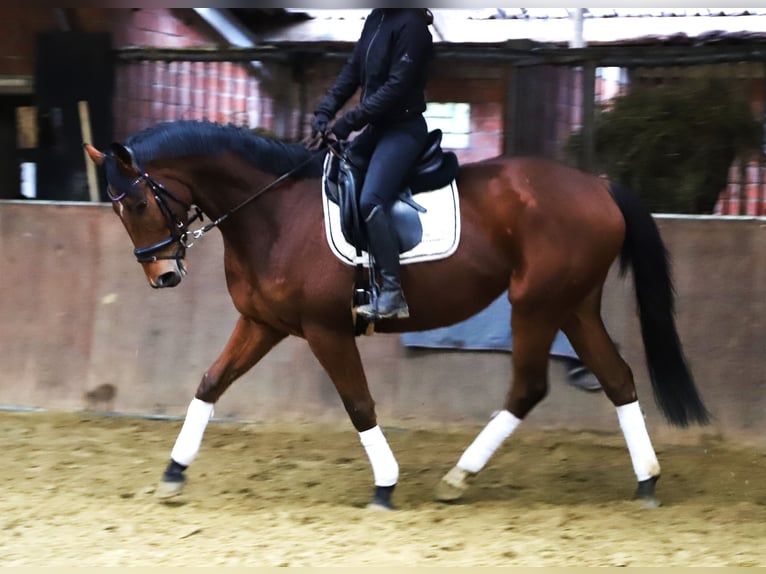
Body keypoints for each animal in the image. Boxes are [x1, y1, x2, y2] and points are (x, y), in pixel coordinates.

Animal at [84, 119, 710, 510]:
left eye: (135, 203)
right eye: (115, 210)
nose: (162, 276)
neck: (272, 213)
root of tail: (597, 185)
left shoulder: (326, 330)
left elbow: (358, 404)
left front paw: (385, 486)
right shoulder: (264, 324)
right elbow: (211, 383)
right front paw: (173, 473)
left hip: (536, 304)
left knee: (529, 388)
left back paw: (458, 478)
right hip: (573, 305)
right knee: (618, 378)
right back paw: (646, 481)